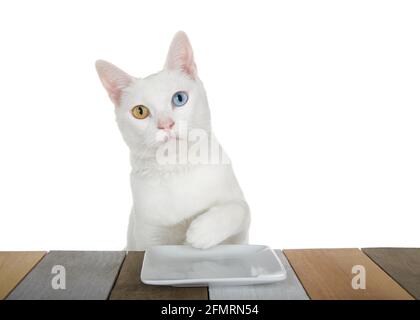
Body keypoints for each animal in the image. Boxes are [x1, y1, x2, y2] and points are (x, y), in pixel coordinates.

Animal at [96, 31, 249, 250]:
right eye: (140, 111)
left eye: (179, 98)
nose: (165, 124)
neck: (177, 167)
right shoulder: (146, 236)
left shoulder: (241, 230)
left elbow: (239, 209)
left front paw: (201, 231)